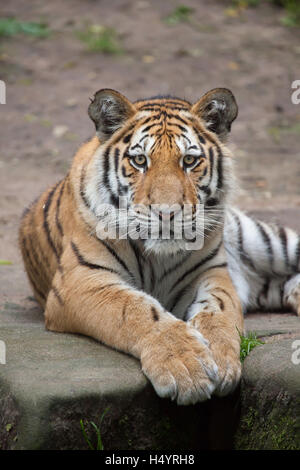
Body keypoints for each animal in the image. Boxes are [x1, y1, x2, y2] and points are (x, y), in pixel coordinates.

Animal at [19, 90, 300, 406]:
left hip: (267, 242)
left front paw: (221, 359)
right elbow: (136, 309)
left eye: (189, 160)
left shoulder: (212, 273)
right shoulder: (81, 280)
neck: (158, 257)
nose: (166, 214)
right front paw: (186, 367)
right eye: (140, 160)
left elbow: (220, 313)